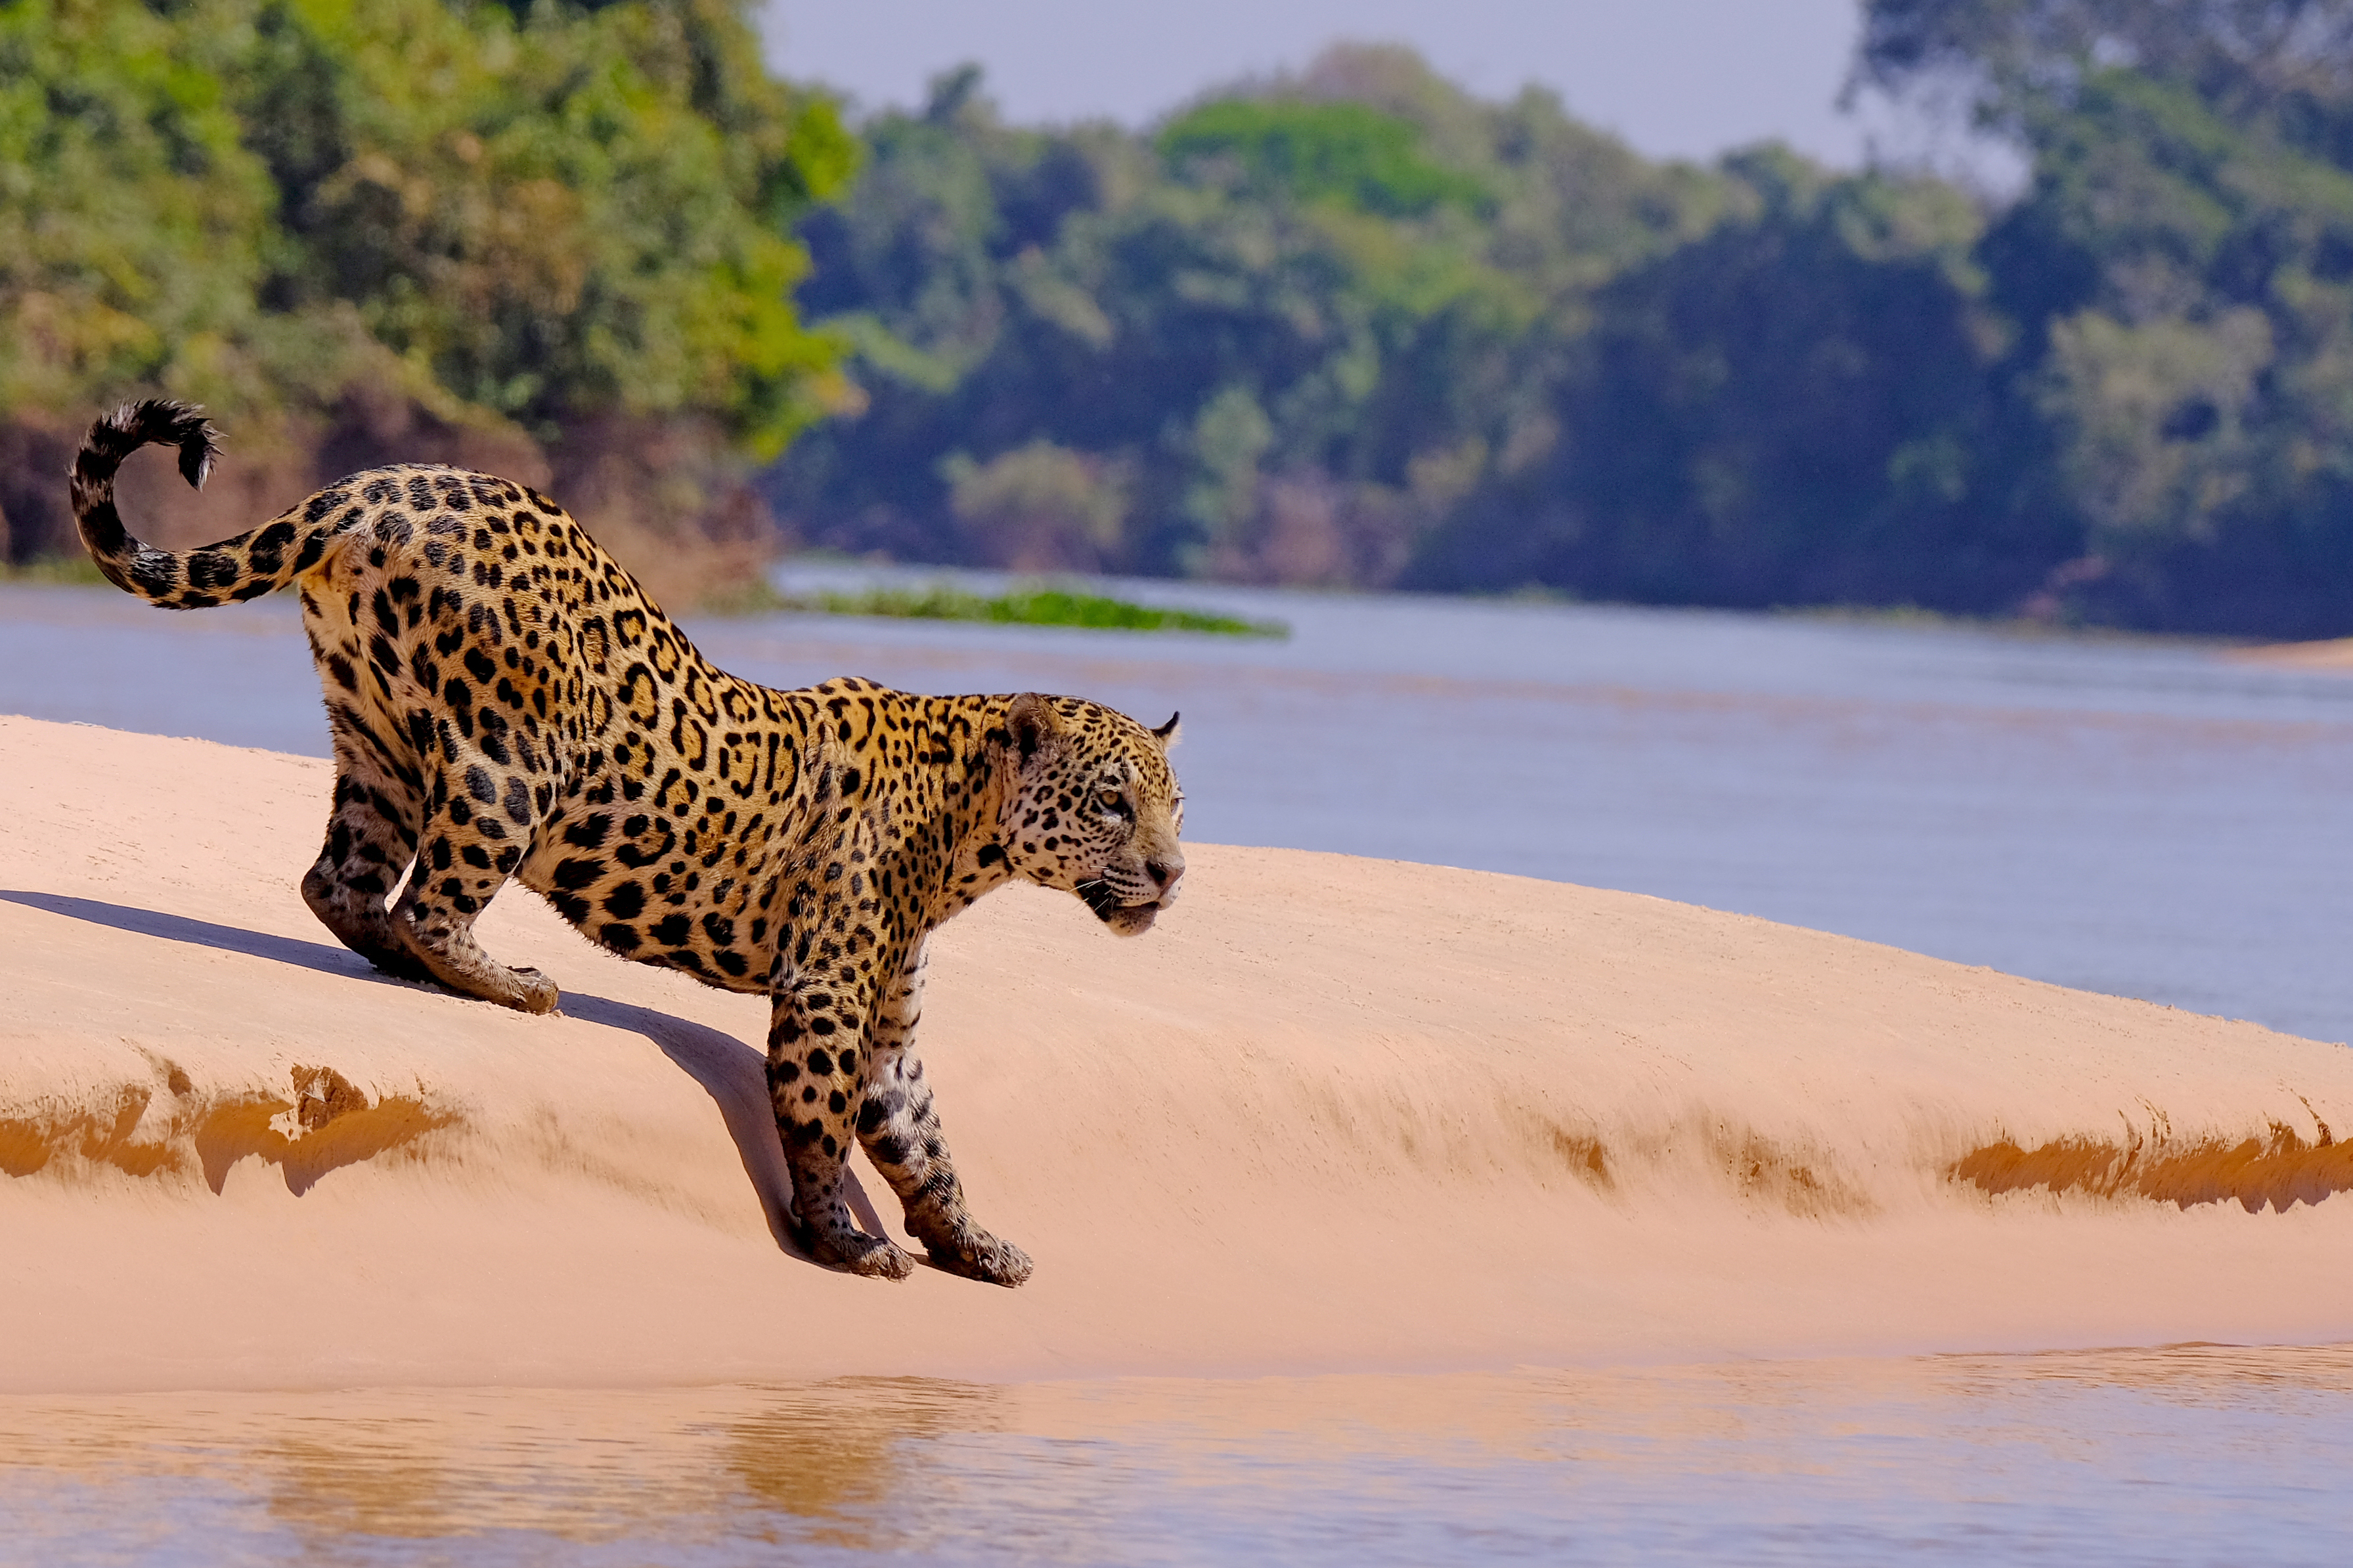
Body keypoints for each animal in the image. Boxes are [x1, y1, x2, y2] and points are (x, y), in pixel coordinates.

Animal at [67, 398, 1188, 1287]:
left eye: (1177, 808)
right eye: (1112, 805)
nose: (1173, 874)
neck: (966, 831)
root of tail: (376, 483)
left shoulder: (888, 1027)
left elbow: (924, 1144)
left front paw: (974, 1243)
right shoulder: (825, 992)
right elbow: (820, 1123)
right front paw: (843, 1242)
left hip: (374, 730)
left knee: (338, 883)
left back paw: (410, 959)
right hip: (509, 759)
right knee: (430, 901)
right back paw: (514, 983)